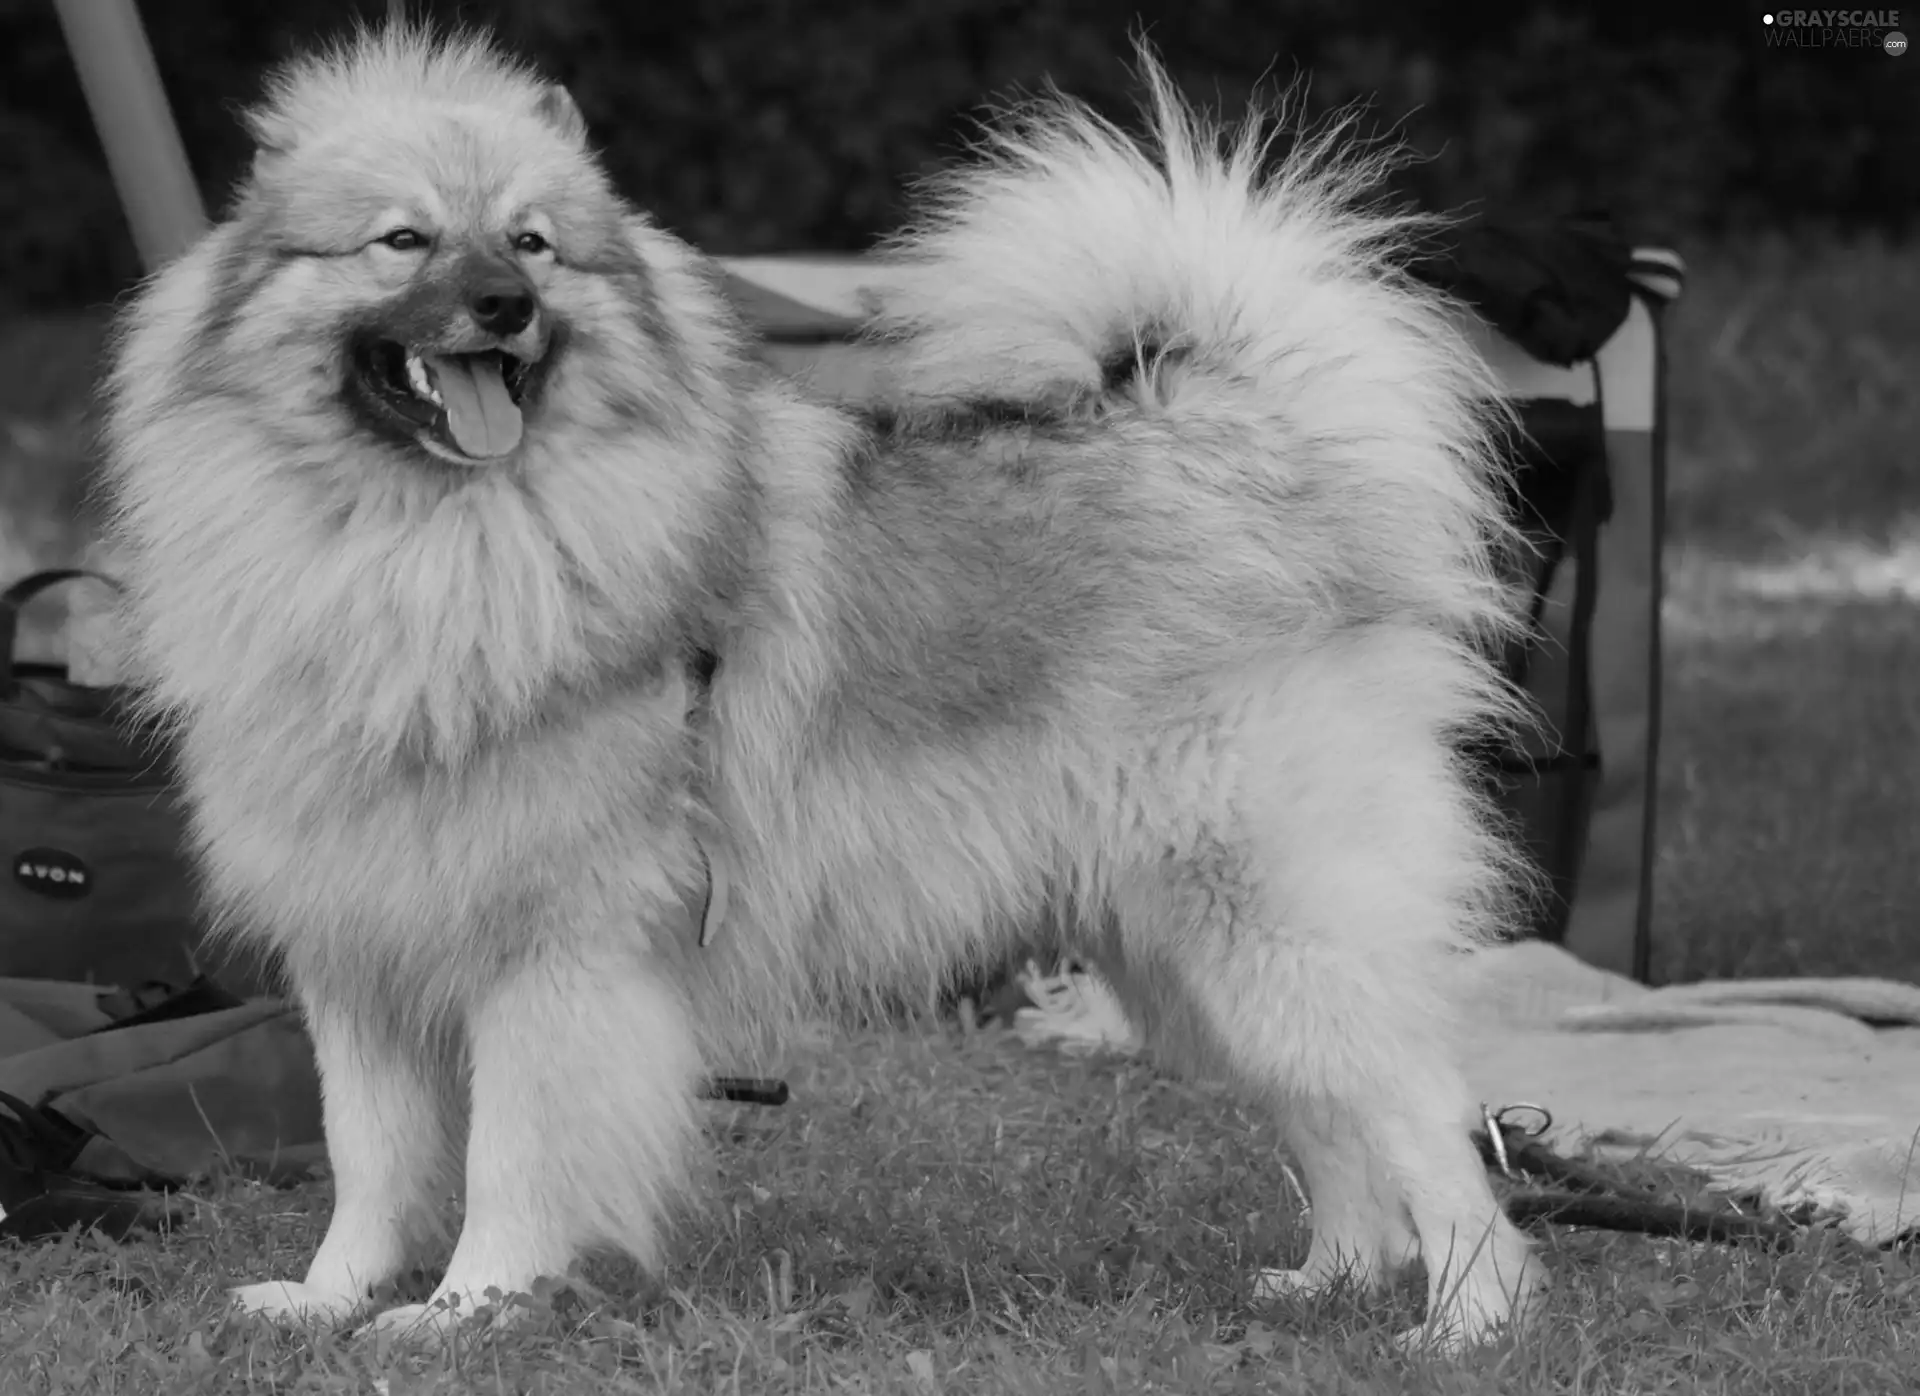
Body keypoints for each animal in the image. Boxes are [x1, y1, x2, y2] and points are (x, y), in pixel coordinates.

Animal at [97, 24, 1551, 1351]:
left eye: (532, 245)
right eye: (402, 241)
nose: (504, 307)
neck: (419, 546)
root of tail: (1237, 449)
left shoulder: (556, 958)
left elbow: (513, 1156)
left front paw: (467, 1309)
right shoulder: (360, 951)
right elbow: (372, 1160)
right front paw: (325, 1299)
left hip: (1271, 927)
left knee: (1428, 1126)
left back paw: (1464, 1325)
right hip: (1180, 952)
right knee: (1334, 1123)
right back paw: (1333, 1283)